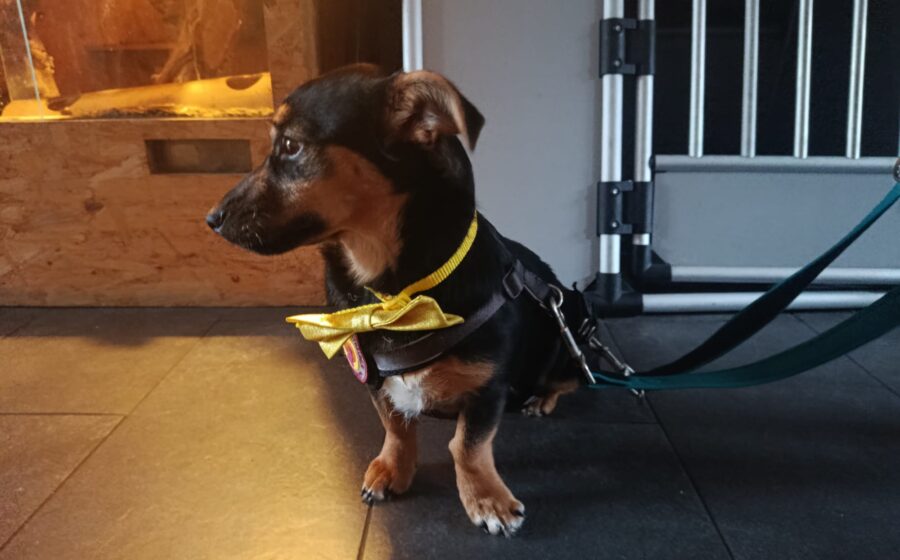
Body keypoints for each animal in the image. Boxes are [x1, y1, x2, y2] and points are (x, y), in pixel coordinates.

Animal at [206, 64, 592, 537]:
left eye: (292, 146)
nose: (211, 219)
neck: (393, 296)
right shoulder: (372, 373)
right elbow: (395, 426)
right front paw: (392, 469)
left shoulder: (487, 386)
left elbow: (468, 445)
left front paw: (486, 499)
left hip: (566, 339)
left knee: (567, 380)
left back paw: (541, 399)